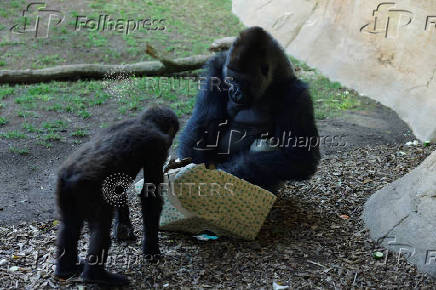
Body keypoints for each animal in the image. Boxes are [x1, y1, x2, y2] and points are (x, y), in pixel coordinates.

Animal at [54, 106, 179, 286]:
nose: (172, 140)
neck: (143, 122)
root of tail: (70, 178)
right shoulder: (158, 148)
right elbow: (149, 195)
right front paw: (151, 250)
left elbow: (119, 189)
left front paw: (123, 227)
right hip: (88, 192)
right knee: (100, 228)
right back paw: (96, 276)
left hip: (65, 191)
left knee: (69, 226)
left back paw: (67, 269)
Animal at [177, 26, 320, 191]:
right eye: (230, 79)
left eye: (241, 81)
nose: (234, 92)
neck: (275, 79)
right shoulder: (216, 68)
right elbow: (203, 123)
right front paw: (191, 168)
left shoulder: (297, 95)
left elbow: (298, 156)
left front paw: (222, 176)